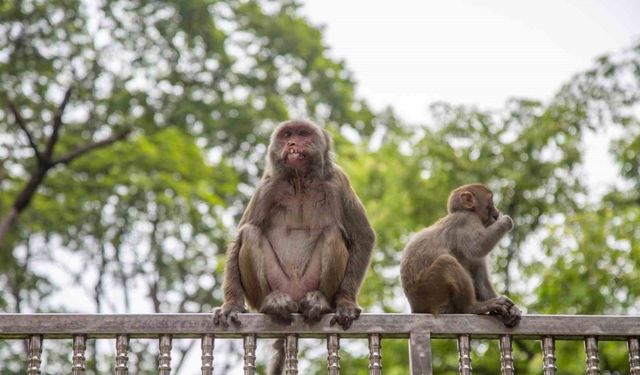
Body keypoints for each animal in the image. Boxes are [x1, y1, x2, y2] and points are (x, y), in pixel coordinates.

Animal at [215, 120, 376, 375]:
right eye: (287, 135)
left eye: (302, 134)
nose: (291, 143)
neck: (300, 180)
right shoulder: (267, 186)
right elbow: (240, 236)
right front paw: (231, 306)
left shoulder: (338, 181)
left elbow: (363, 236)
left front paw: (346, 303)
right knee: (250, 234)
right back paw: (273, 303)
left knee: (332, 234)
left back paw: (319, 301)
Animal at [402, 184, 524, 328]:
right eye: (491, 201)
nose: (497, 211)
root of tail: (416, 307)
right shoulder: (467, 220)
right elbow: (477, 246)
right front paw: (506, 220)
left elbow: (480, 278)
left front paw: (513, 309)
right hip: (427, 291)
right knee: (446, 261)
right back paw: (471, 307)